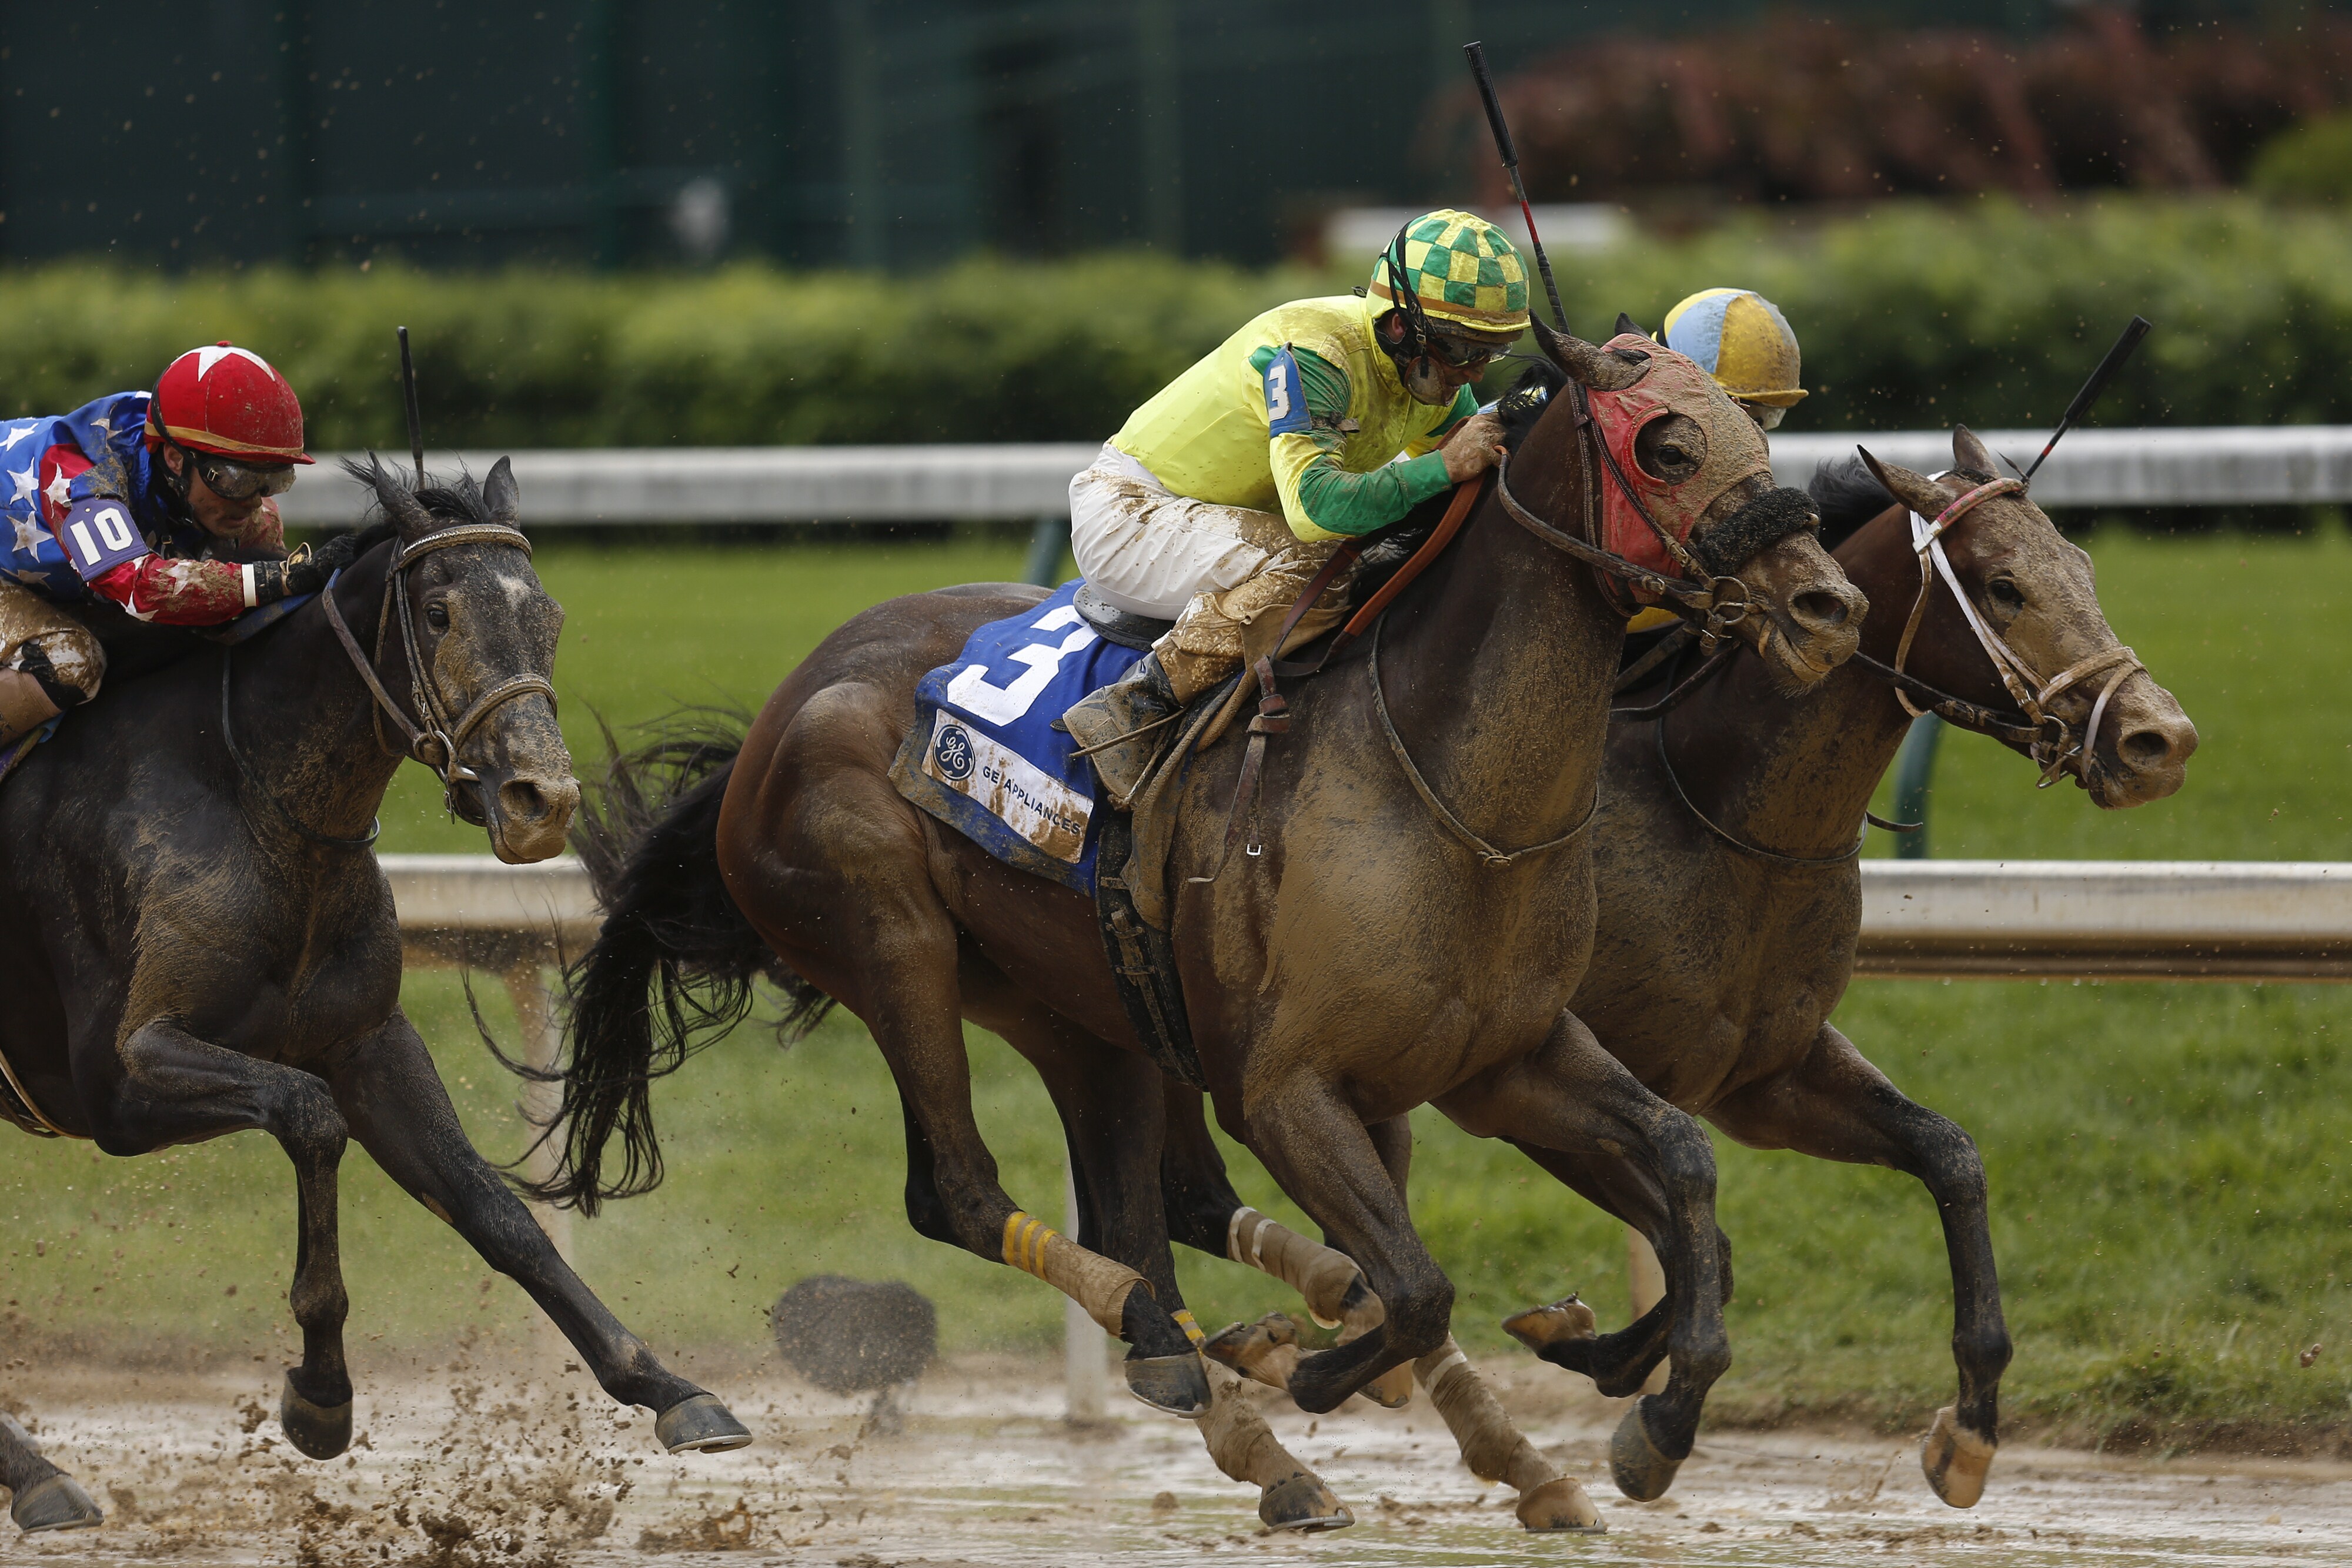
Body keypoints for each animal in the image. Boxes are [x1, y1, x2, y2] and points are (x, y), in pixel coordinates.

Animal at [0, 461, 747, 1538]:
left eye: (549, 614)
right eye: (438, 613)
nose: (542, 803)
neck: (250, 796)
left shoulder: (368, 1041)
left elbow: (495, 1207)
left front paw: (671, 1388)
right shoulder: (120, 1082)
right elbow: (310, 1118)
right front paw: (320, 1396)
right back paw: (38, 1474)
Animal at [537, 323, 1865, 1524]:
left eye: (1762, 436)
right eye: (1667, 445)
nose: (1826, 603)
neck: (1445, 781)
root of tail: (780, 709)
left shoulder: (1507, 1055)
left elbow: (1683, 1161)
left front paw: (1656, 1415)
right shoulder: (1285, 1087)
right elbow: (1417, 1286)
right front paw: (1319, 1364)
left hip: (1077, 1000)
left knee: (1143, 1221)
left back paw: (1253, 1415)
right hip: (888, 936)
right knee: (963, 1196)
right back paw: (1212, 1360)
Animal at [1135, 424, 2196, 1518]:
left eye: (2082, 566)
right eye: (2001, 586)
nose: (2159, 738)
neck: (1713, 804)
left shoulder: (1764, 1075)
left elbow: (1944, 1155)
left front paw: (1970, 1425)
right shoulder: (1532, 1079)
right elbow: (1703, 1245)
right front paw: (1646, 1407)